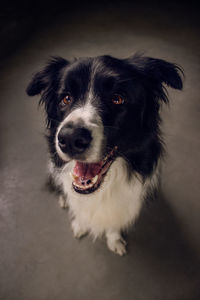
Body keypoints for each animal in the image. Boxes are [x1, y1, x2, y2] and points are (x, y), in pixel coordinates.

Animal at [26, 54, 183, 255]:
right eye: (66, 98)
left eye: (117, 99)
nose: (69, 138)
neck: (103, 188)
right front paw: (80, 225)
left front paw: (114, 240)